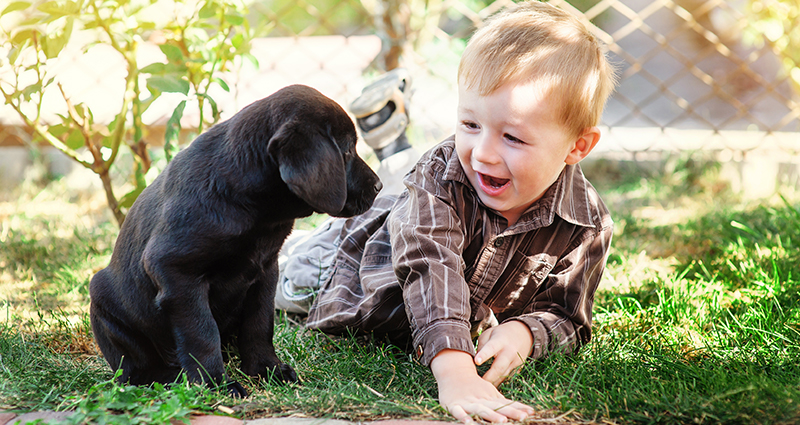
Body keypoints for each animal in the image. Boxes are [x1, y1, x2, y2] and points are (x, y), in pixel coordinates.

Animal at [89, 84, 382, 396]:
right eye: (347, 149)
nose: (379, 186)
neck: (255, 211)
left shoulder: (266, 270)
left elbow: (259, 323)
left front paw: (267, 368)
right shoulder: (176, 273)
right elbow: (202, 333)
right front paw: (216, 384)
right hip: (103, 303)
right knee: (135, 370)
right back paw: (170, 376)